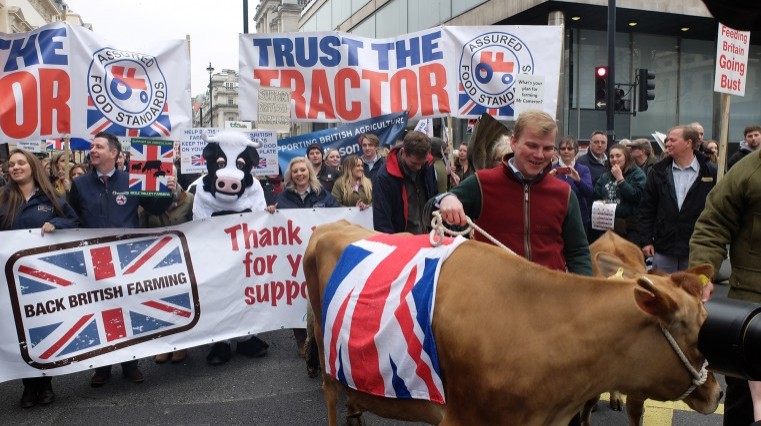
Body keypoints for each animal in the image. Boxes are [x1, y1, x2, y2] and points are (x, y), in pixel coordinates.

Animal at [304, 221, 720, 424]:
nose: (717, 393)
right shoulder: (463, 419)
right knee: (329, 395)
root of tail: (332, 225)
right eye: (695, 336)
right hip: (324, 353)